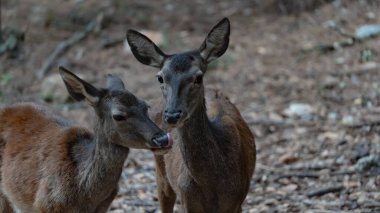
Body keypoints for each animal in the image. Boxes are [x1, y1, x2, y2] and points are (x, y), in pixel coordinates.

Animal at [127, 17, 255, 212]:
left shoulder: (237, 200)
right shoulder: (187, 201)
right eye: (160, 77)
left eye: (198, 77)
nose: (172, 115)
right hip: (161, 171)